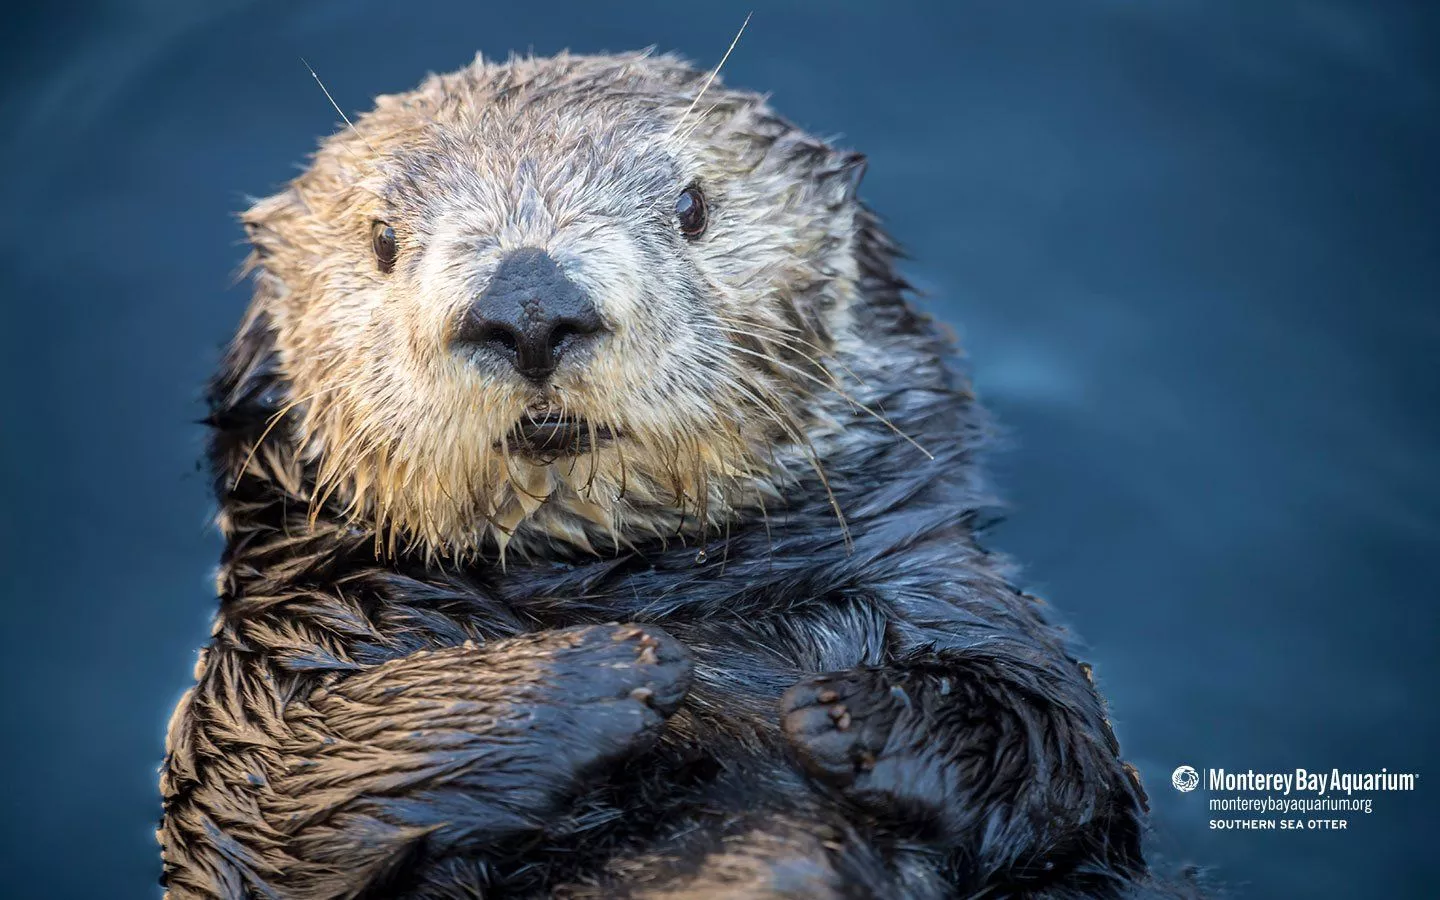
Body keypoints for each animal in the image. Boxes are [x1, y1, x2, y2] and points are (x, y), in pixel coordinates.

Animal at [159, 51, 1192, 899]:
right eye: (380, 237)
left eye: (693, 206)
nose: (528, 305)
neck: (631, 581)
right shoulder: (264, 676)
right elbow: (272, 795)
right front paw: (611, 671)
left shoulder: (944, 587)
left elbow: (1053, 740)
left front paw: (843, 715)